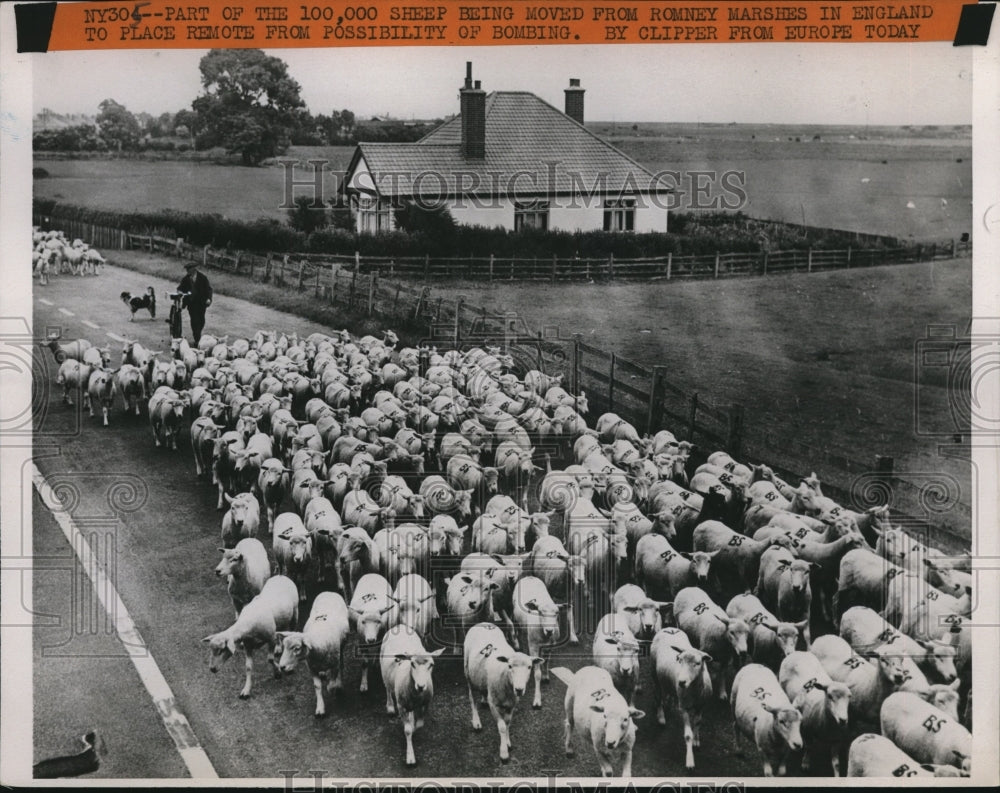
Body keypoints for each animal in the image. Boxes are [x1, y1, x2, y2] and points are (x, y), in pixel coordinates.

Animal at [276, 588, 350, 716]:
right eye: (284, 647)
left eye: (297, 648)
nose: (282, 667)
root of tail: (329, 592)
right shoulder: (312, 668)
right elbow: (317, 687)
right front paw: (320, 708)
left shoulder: (334, 664)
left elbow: (332, 682)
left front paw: (333, 687)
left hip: (342, 646)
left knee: (341, 664)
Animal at [378, 620, 446, 764]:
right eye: (412, 664)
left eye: (431, 665)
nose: (421, 686)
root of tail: (400, 626)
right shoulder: (402, 706)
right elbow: (408, 730)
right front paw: (410, 756)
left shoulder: (425, 704)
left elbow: (419, 724)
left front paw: (414, 726)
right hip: (382, 667)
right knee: (387, 688)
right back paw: (390, 706)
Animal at [512, 572, 568, 708]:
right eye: (540, 612)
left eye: (557, 613)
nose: (549, 630)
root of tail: (529, 576)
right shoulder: (533, 645)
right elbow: (537, 673)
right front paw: (537, 699)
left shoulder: (551, 645)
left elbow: (546, 661)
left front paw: (546, 676)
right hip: (517, 621)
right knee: (519, 634)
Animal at [652, 624, 716, 768]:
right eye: (679, 660)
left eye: (698, 663)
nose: (681, 682)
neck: (694, 690)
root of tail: (669, 628)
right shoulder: (684, 708)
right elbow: (687, 735)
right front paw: (690, 761)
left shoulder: (701, 706)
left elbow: (698, 722)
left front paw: (696, 740)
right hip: (654, 672)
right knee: (658, 696)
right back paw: (661, 716)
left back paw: (669, 702)